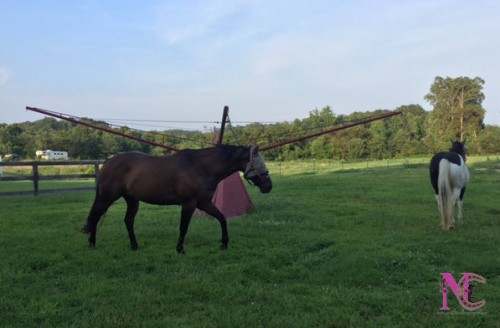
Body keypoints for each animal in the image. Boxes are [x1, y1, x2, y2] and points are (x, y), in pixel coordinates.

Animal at [81, 145, 274, 254]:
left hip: (132, 200)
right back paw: (91, 243)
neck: (200, 167)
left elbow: (222, 219)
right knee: (96, 216)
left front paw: (224, 244)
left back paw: (134, 246)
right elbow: (184, 227)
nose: (269, 186)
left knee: (128, 221)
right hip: (107, 197)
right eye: (260, 164)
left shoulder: (204, 203)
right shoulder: (189, 204)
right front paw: (180, 249)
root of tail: (107, 162)